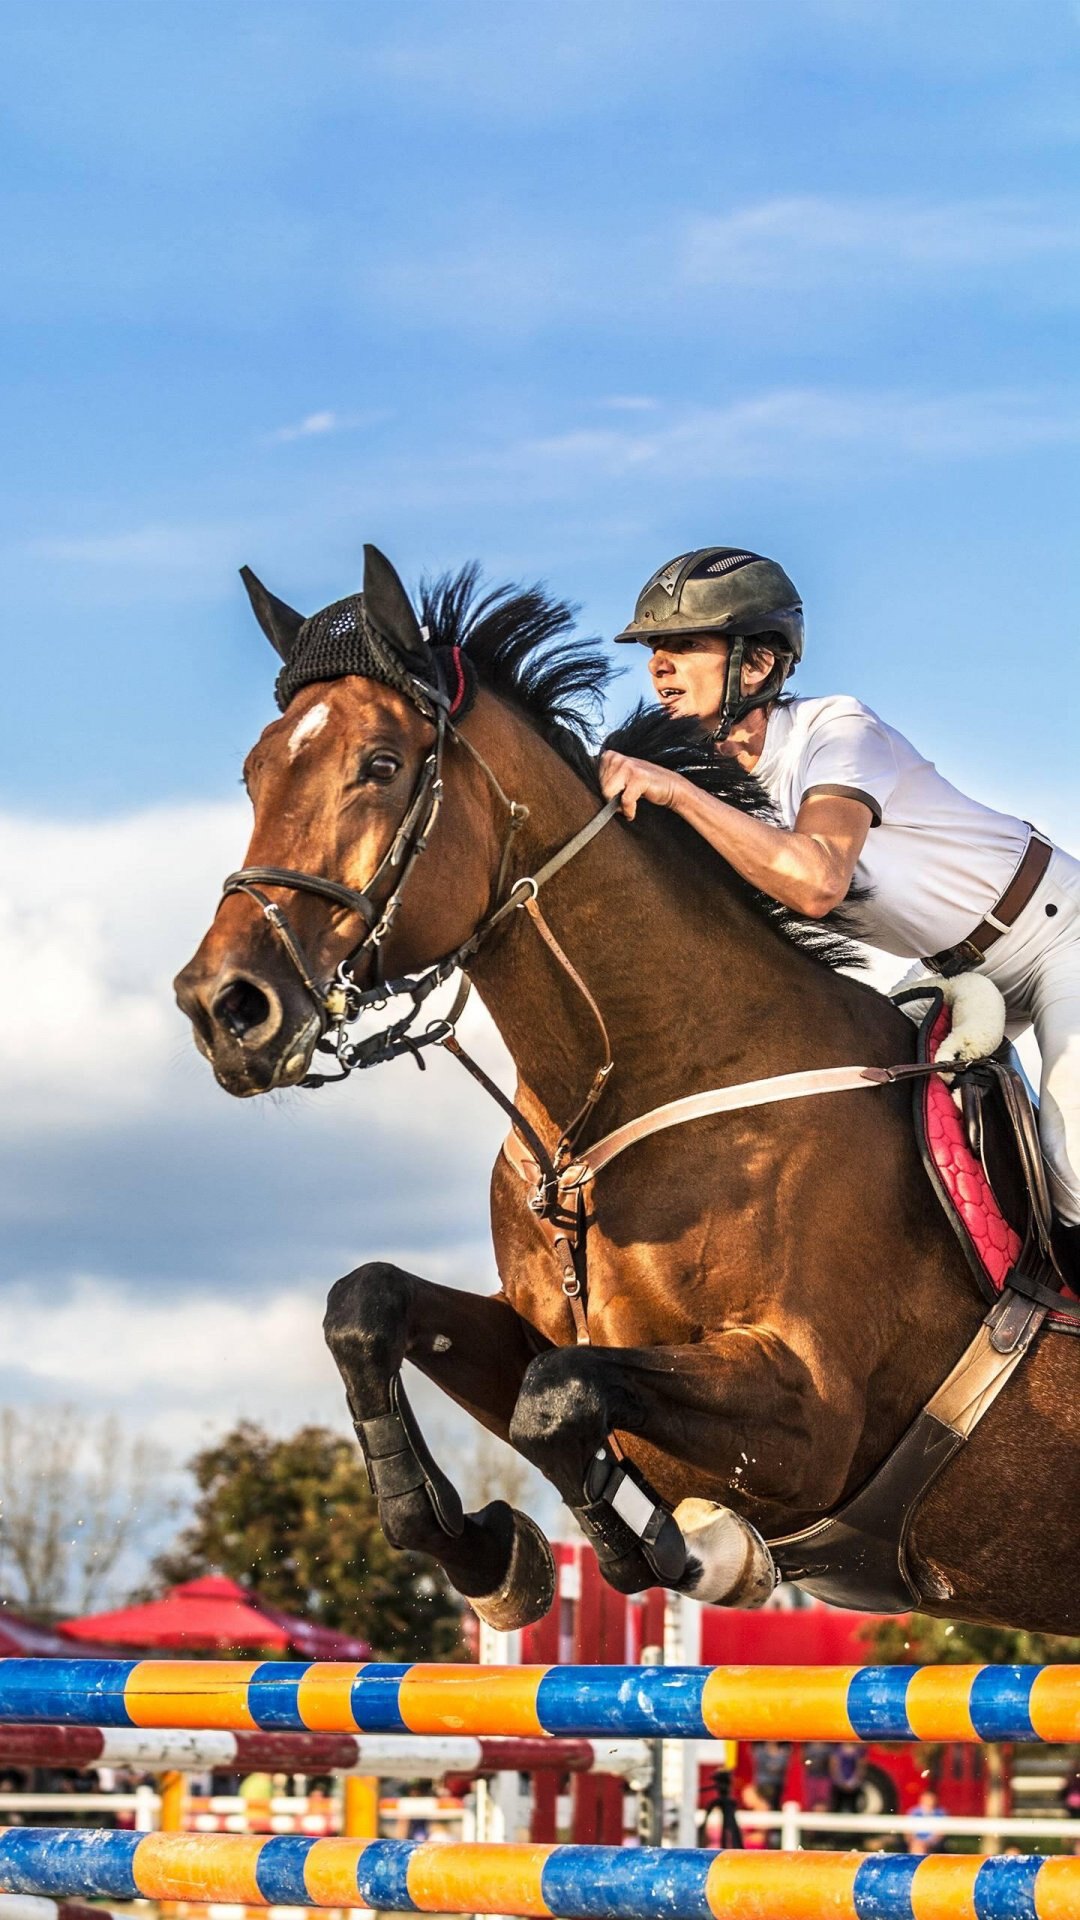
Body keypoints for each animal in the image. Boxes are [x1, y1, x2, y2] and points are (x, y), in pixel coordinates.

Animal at [175, 545, 1079, 1635]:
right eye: (255, 773)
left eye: (382, 765)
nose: (221, 1007)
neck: (634, 1086)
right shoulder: (526, 1329)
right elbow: (370, 1306)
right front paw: (487, 1555)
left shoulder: (814, 1412)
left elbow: (558, 1399)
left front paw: (697, 1555)